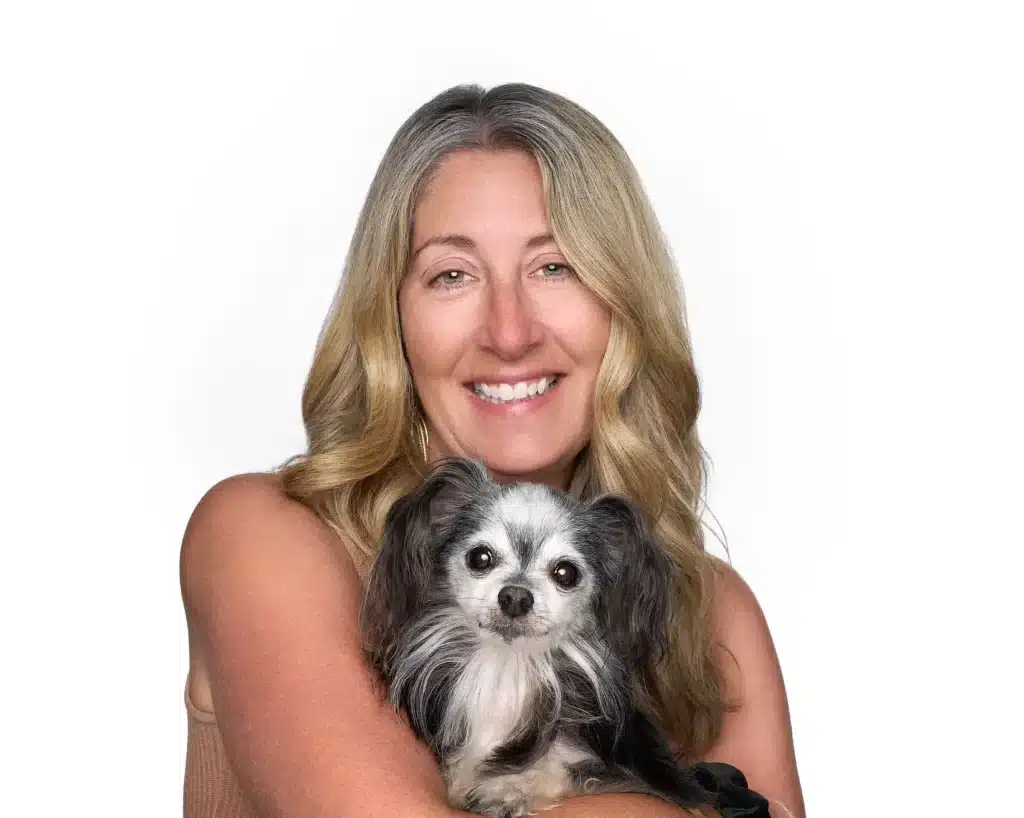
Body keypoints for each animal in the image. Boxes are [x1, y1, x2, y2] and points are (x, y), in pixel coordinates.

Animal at [361, 457, 770, 818]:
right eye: (480, 557)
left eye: (565, 573)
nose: (515, 596)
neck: (507, 670)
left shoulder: (630, 774)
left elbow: (571, 769)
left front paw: (508, 789)